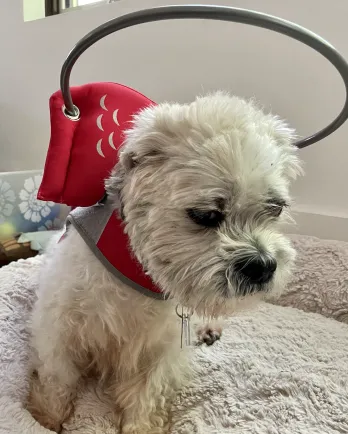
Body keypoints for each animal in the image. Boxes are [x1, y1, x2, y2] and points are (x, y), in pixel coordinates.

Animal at [27, 92, 302, 434]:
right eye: (206, 215)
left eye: (276, 208)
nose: (263, 265)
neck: (137, 271)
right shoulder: (59, 324)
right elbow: (57, 376)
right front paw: (45, 418)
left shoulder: (161, 347)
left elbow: (148, 392)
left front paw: (142, 426)